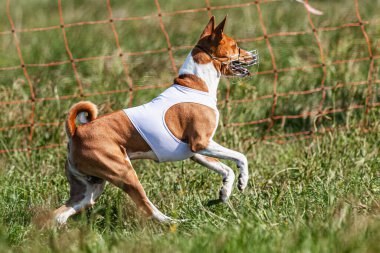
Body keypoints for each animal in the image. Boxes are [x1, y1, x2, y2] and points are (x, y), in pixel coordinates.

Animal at [53, 15, 258, 223]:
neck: (196, 85)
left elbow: (227, 169)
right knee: (147, 208)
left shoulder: (196, 152)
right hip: (124, 172)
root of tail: (76, 132)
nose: (253, 56)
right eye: (235, 45)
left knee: (58, 215)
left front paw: (225, 191)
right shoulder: (201, 143)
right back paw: (174, 222)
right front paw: (243, 180)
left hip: (89, 189)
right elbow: (240, 157)